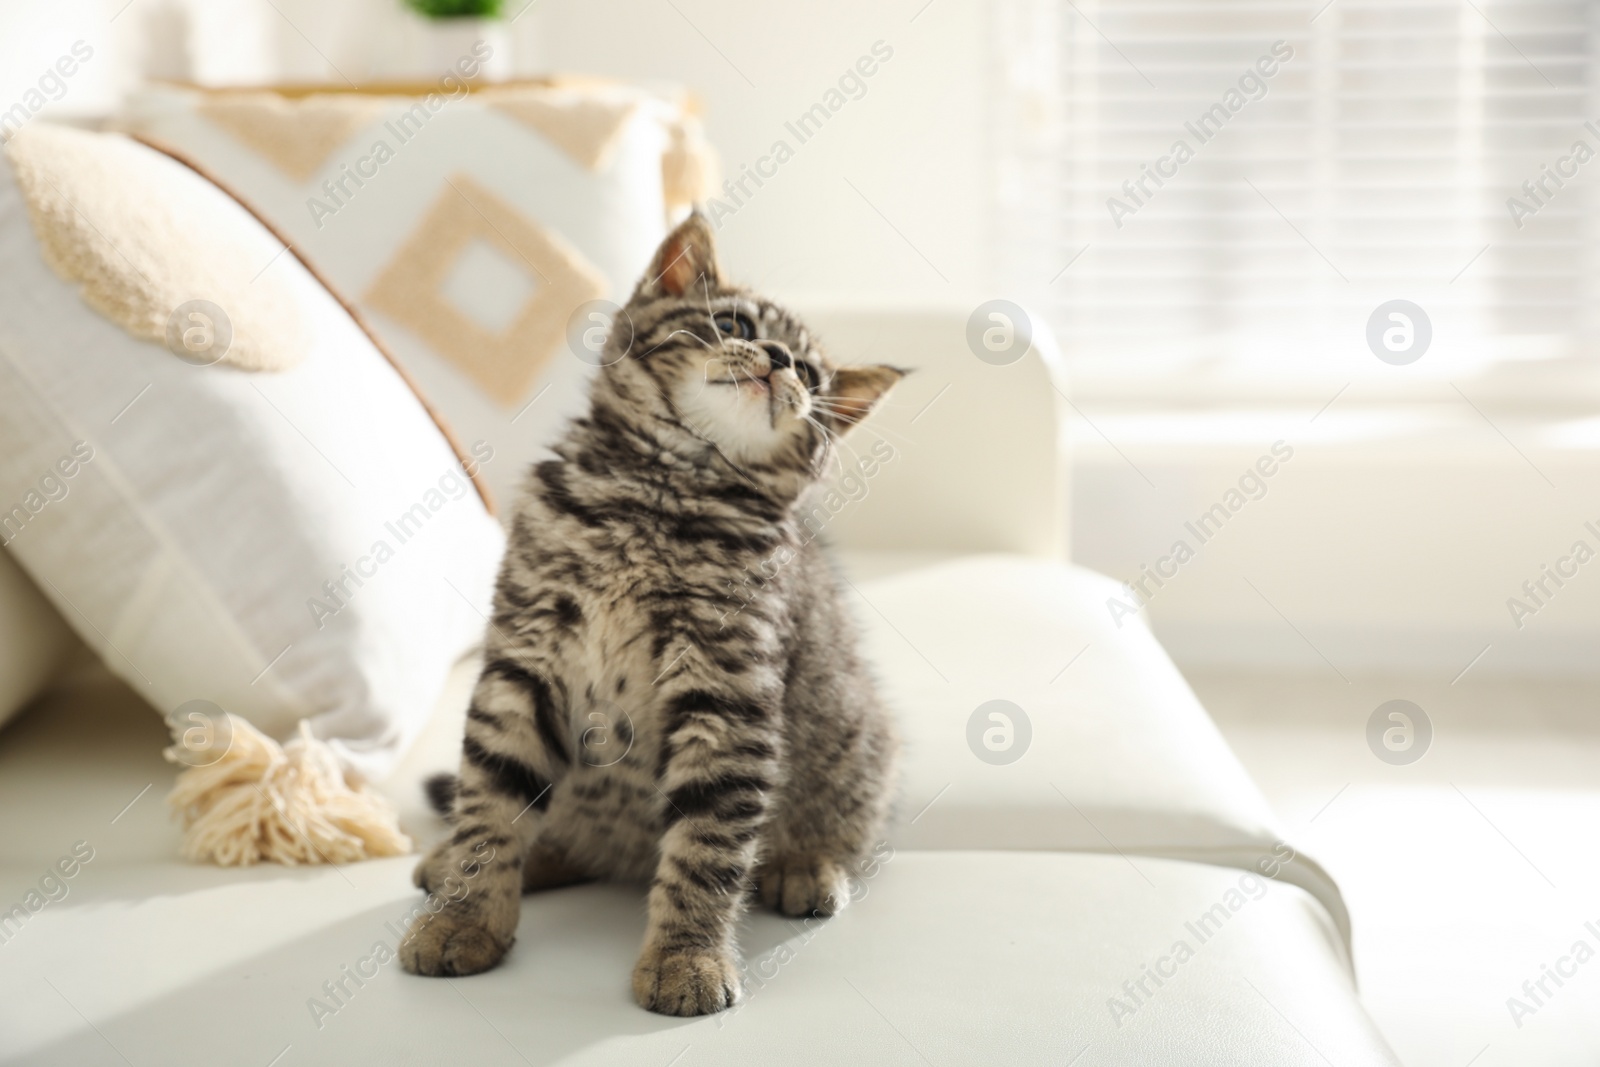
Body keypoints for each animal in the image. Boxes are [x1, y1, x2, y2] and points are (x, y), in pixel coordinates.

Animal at [398, 211, 902, 1017]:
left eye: (813, 378)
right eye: (734, 323)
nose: (779, 362)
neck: (660, 490)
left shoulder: (728, 694)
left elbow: (706, 845)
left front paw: (686, 956)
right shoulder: (521, 662)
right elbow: (491, 800)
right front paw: (466, 915)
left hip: (858, 739)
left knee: (840, 823)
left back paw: (804, 864)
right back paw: (479, 860)